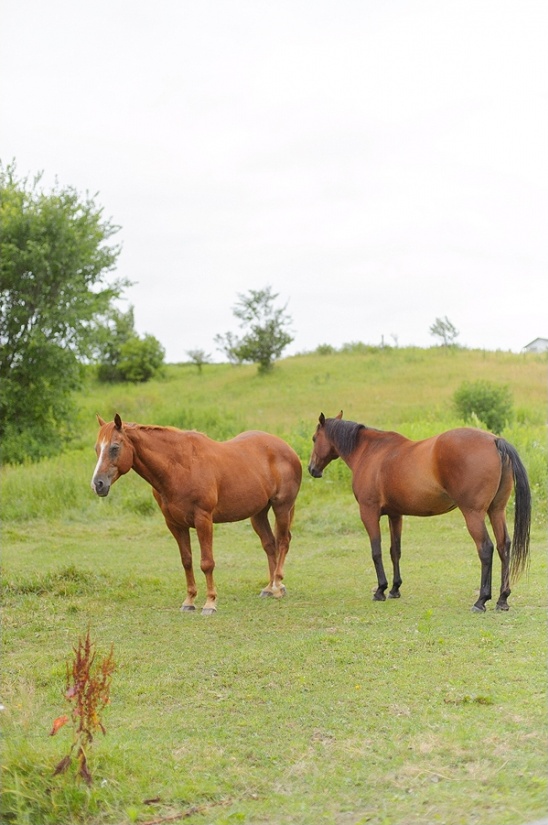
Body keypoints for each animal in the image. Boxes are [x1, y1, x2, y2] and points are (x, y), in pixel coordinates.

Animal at [91, 414, 302, 614]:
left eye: (115, 447)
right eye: (97, 449)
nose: (97, 484)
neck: (180, 468)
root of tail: (286, 448)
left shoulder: (203, 519)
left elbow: (206, 563)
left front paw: (210, 603)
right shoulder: (175, 524)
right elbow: (186, 561)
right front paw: (189, 601)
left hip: (282, 508)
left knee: (283, 541)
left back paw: (277, 585)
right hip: (258, 514)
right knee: (270, 545)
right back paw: (269, 588)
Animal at [308, 412, 531, 612]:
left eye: (314, 438)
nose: (312, 469)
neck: (370, 452)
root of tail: (494, 440)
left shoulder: (368, 512)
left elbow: (376, 551)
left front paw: (380, 589)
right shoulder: (395, 515)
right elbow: (395, 551)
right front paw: (395, 589)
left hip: (473, 514)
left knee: (486, 548)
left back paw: (481, 600)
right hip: (497, 511)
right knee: (503, 547)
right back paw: (502, 599)